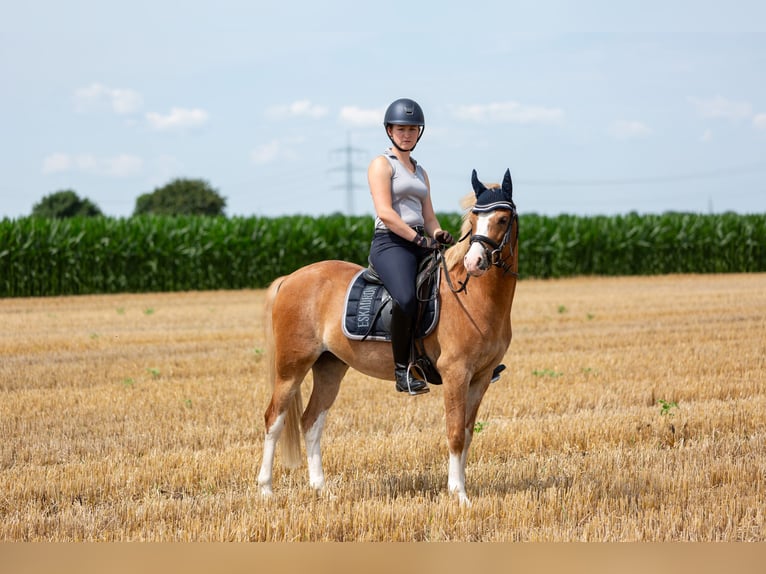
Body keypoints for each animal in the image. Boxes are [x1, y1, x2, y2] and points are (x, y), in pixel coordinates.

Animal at [255, 169, 520, 506]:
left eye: (502, 219)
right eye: (473, 219)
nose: (475, 263)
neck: (473, 296)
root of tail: (290, 278)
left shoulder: (481, 377)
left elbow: (469, 432)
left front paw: (461, 487)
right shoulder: (456, 374)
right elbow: (455, 433)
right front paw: (458, 494)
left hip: (329, 367)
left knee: (311, 421)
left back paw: (322, 489)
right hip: (291, 367)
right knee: (274, 419)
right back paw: (265, 489)